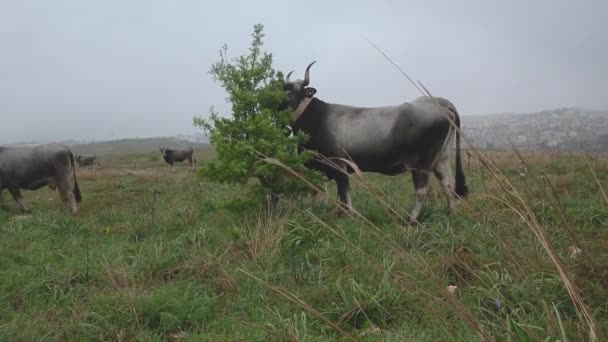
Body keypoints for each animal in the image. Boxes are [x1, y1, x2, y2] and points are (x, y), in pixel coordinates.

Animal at [278, 60, 468, 223]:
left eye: (290, 91)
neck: (316, 118)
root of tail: (442, 106)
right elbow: (323, 191)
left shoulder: (339, 165)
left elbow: (344, 193)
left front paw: (350, 216)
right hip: (441, 159)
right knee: (448, 183)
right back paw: (451, 214)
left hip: (420, 163)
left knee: (423, 190)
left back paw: (410, 220)